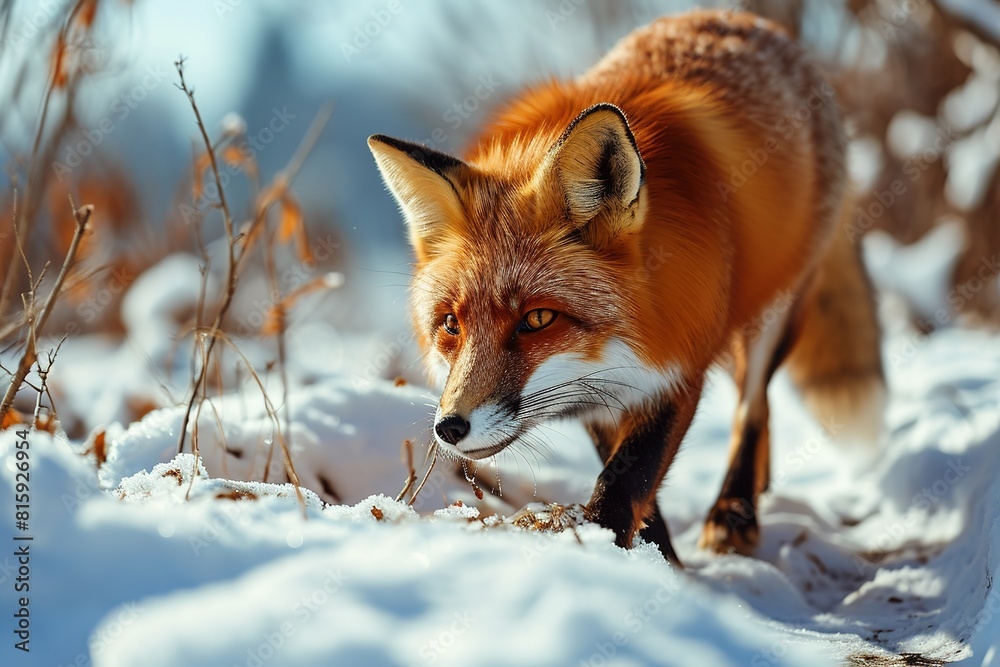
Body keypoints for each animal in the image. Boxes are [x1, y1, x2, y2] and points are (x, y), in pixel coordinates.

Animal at [368, 10, 885, 565]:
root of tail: (747, 19)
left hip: (775, 310)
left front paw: (612, 553)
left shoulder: (678, 362)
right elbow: (629, 478)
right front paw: (657, 558)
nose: (449, 427)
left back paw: (735, 512)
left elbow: (629, 476)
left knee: (753, 405)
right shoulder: (598, 384)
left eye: (538, 319)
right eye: (451, 324)